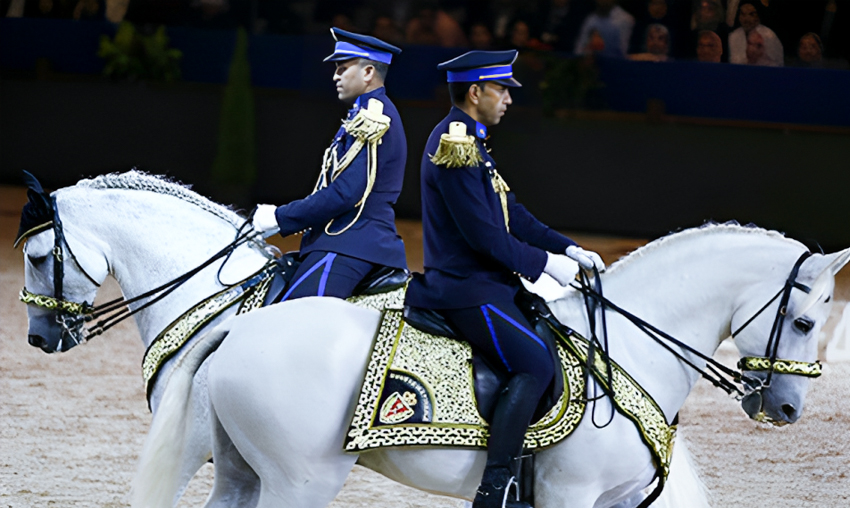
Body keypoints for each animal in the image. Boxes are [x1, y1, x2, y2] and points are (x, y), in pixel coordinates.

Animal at [139, 223, 848, 508]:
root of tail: (241, 326)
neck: (632, 345)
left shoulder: (617, 501)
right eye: (804, 323)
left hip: (242, 470)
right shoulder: (570, 496)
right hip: (300, 481)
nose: (788, 408)